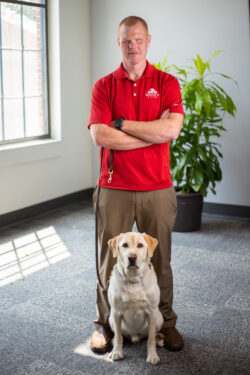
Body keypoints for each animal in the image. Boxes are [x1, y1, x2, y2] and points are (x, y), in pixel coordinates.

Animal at [108, 232, 164, 364]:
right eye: (124, 245)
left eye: (140, 245)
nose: (132, 257)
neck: (133, 278)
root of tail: (135, 336)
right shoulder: (116, 312)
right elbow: (118, 337)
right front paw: (117, 352)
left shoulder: (152, 312)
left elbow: (150, 339)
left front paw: (152, 355)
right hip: (110, 318)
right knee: (119, 335)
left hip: (159, 317)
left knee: (153, 335)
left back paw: (159, 341)